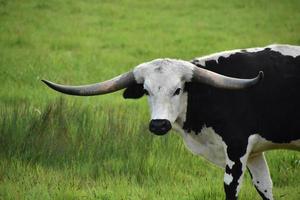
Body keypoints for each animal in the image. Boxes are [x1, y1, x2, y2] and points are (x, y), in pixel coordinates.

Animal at [42, 44, 300, 199]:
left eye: (177, 90)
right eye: (146, 91)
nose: (159, 125)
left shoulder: (237, 149)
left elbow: (230, 188)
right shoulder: (254, 153)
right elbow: (265, 186)